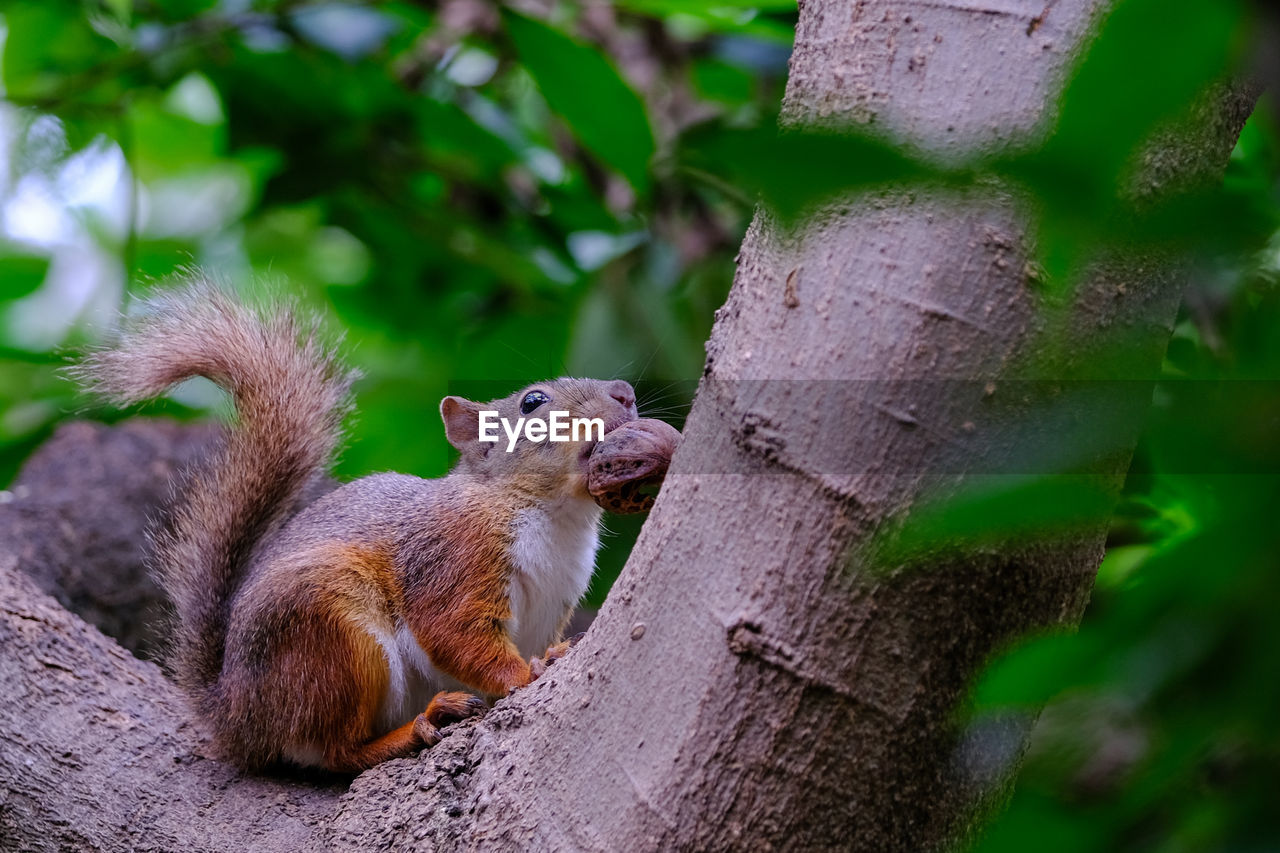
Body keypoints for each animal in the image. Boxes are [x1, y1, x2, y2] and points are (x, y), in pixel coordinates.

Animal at [74, 279, 645, 768]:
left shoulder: (555, 599)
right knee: (337, 750)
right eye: (533, 402)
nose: (625, 392)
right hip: (335, 638)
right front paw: (525, 674)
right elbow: (455, 632)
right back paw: (418, 725)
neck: (556, 514)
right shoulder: (454, 556)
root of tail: (236, 714)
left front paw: (554, 654)